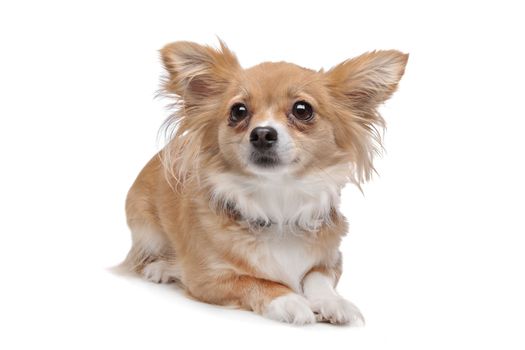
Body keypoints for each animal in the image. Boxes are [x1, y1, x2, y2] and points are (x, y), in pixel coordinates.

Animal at [121, 41, 408, 326]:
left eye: (302, 110)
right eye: (238, 111)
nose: (261, 133)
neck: (278, 202)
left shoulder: (331, 260)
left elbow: (317, 277)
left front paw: (333, 302)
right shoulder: (207, 279)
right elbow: (255, 281)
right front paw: (290, 300)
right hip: (148, 231)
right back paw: (161, 267)